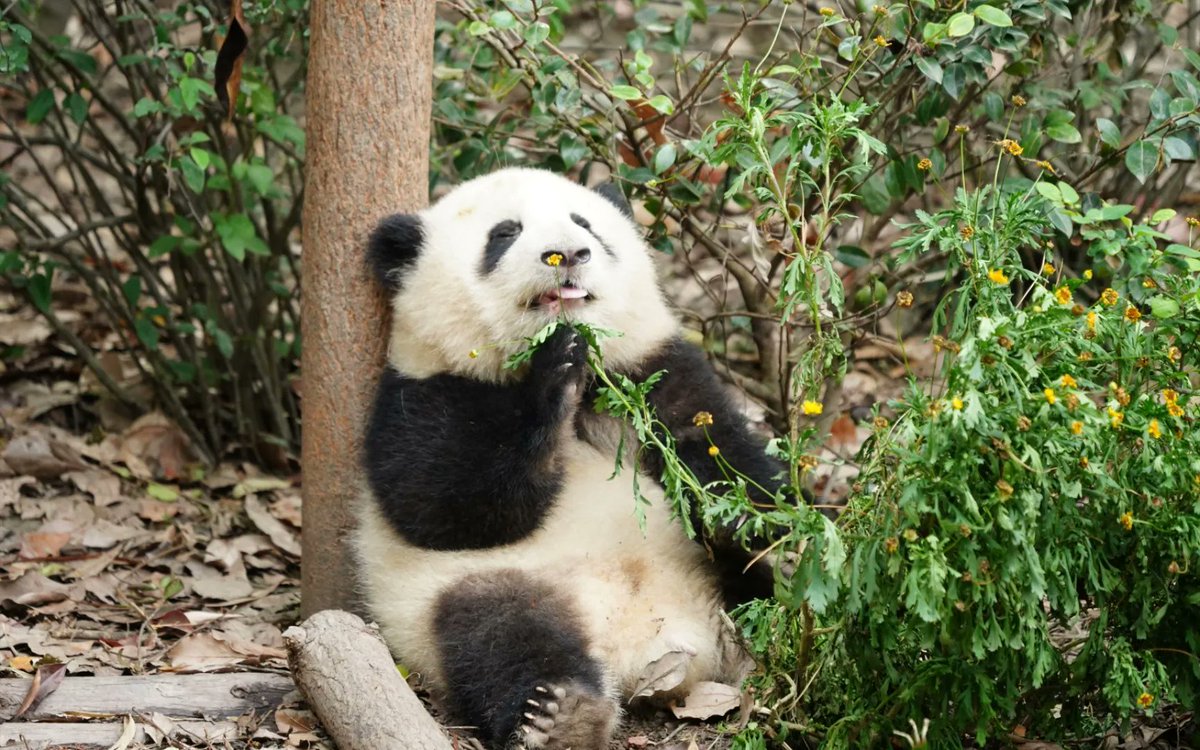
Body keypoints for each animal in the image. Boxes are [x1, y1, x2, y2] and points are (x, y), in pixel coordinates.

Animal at [354, 167, 792, 749]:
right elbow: (442, 504)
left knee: (761, 590)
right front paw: (556, 368)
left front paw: (734, 517)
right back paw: (564, 714)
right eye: (504, 234)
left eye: (585, 224)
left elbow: (722, 447)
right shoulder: (423, 391)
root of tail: (658, 650)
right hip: (466, 590)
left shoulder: (653, 368)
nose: (567, 253)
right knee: (498, 632)